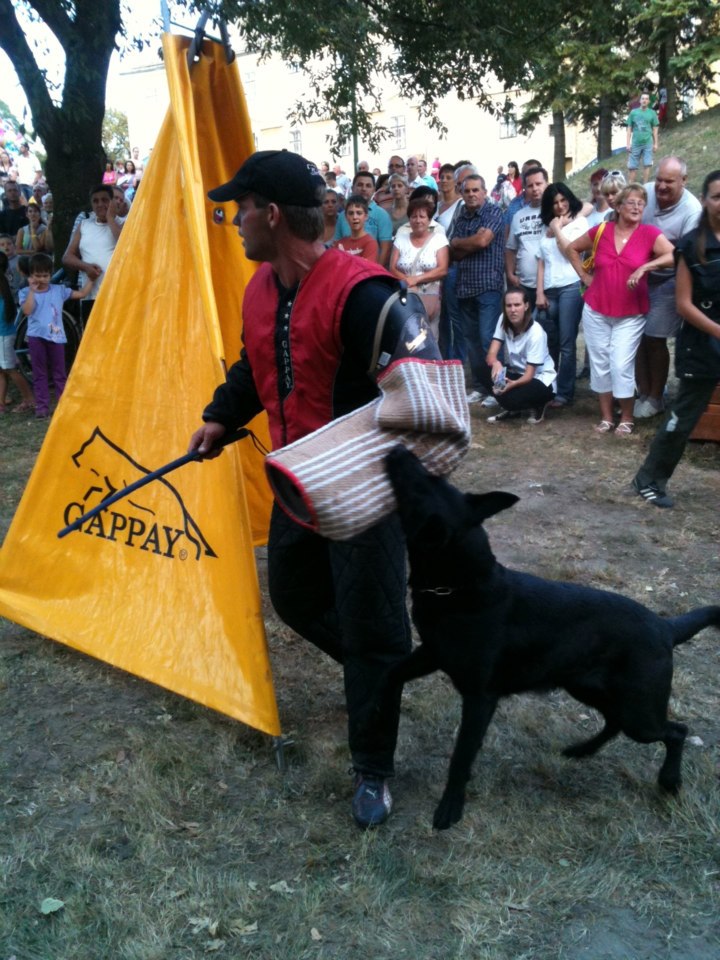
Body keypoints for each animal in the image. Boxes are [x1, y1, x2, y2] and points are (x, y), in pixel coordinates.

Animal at [374, 446, 720, 830]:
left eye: (420, 486)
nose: (397, 449)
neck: (460, 585)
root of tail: (666, 627)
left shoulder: (480, 698)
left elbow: (461, 757)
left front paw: (450, 807)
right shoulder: (432, 654)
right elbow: (389, 674)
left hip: (639, 712)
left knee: (676, 731)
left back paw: (669, 781)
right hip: (588, 688)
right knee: (614, 721)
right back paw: (582, 750)